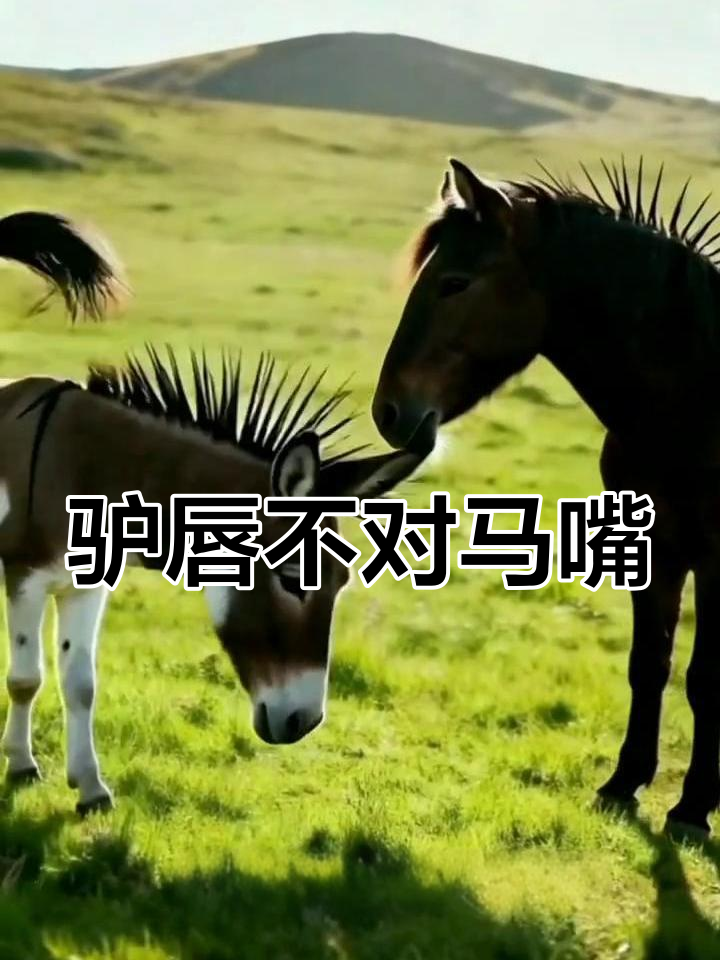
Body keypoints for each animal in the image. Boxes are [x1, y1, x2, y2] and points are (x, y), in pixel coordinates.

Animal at [0, 348, 426, 814]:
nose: (304, 724)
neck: (87, 468)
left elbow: (80, 686)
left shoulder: (85, 586)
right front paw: (21, 765)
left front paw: (90, 788)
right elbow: (25, 680)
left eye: (342, 580)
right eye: (292, 576)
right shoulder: (25, 576)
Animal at [371, 156, 720, 838]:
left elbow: (705, 679)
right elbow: (650, 665)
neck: (699, 393)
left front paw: (693, 809)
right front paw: (624, 783)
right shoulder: (656, 549)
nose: (388, 412)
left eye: (455, 282)